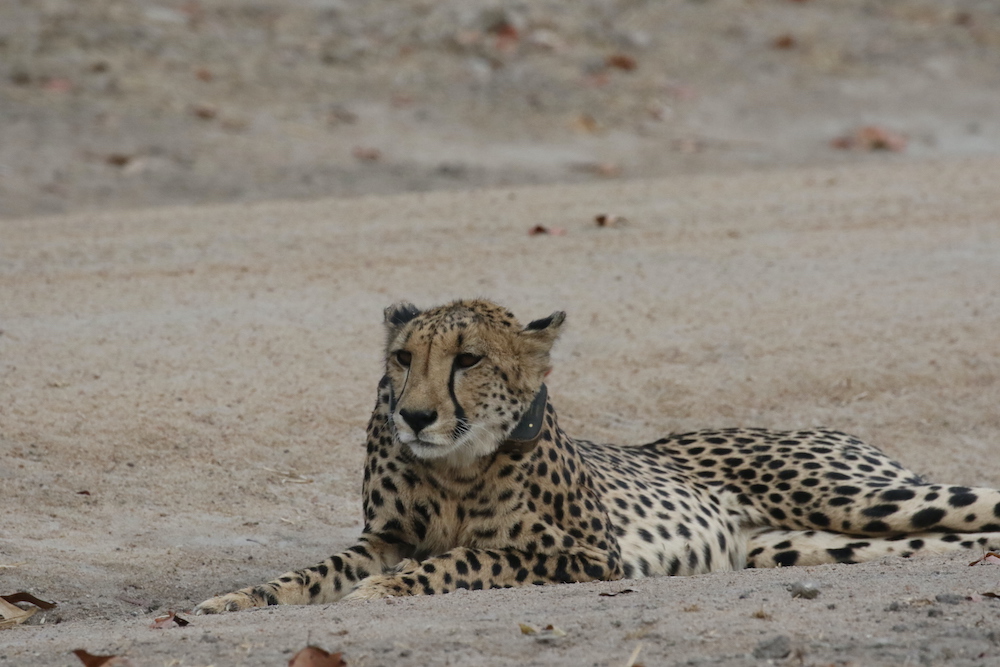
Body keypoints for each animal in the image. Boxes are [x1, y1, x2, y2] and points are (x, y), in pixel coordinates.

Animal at [195, 300, 1000, 612]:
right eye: (401, 357)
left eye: (467, 359)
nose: (414, 415)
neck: (456, 463)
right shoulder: (384, 536)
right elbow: (310, 572)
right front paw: (238, 600)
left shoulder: (588, 555)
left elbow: (468, 557)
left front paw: (389, 590)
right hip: (811, 545)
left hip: (865, 498)